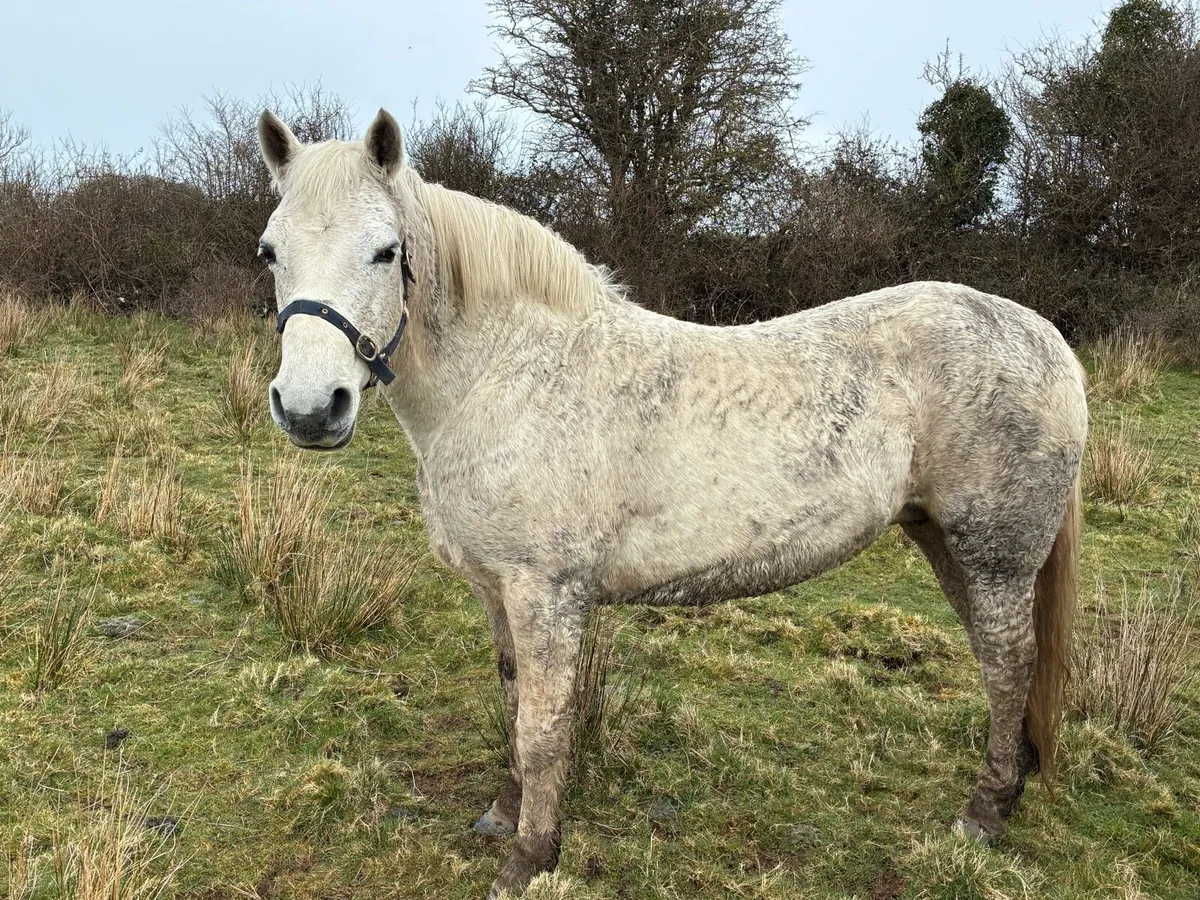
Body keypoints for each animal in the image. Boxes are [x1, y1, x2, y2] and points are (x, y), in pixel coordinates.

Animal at [257, 107, 1087, 898]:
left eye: (385, 251)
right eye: (270, 252)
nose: (310, 409)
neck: (508, 373)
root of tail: (1046, 340)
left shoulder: (545, 591)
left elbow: (543, 726)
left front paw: (530, 858)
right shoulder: (497, 590)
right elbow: (515, 697)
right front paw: (504, 812)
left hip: (995, 554)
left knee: (1009, 662)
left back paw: (983, 815)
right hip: (943, 540)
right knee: (997, 662)